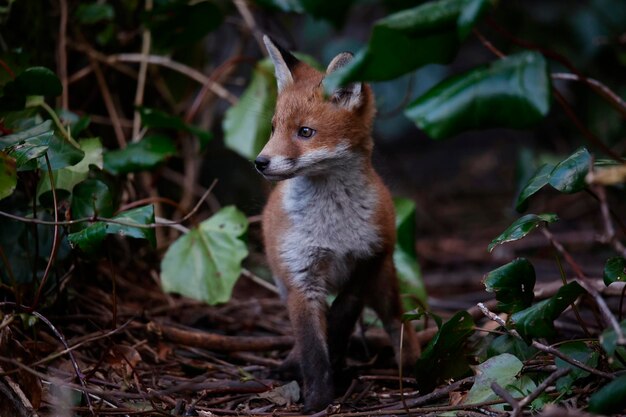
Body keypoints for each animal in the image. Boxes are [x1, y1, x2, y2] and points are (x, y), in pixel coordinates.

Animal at [254, 36, 420, 410]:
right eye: (273, 128)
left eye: (305, 132)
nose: (260, 162)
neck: (331, 229)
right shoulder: (301, 277)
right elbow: (313, 347)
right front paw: (318, 397)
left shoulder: (365, 265)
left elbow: (339, 322)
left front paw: (330, 380)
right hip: (283, 282)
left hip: (384, 283)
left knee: (398, 323)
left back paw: (418, 369)